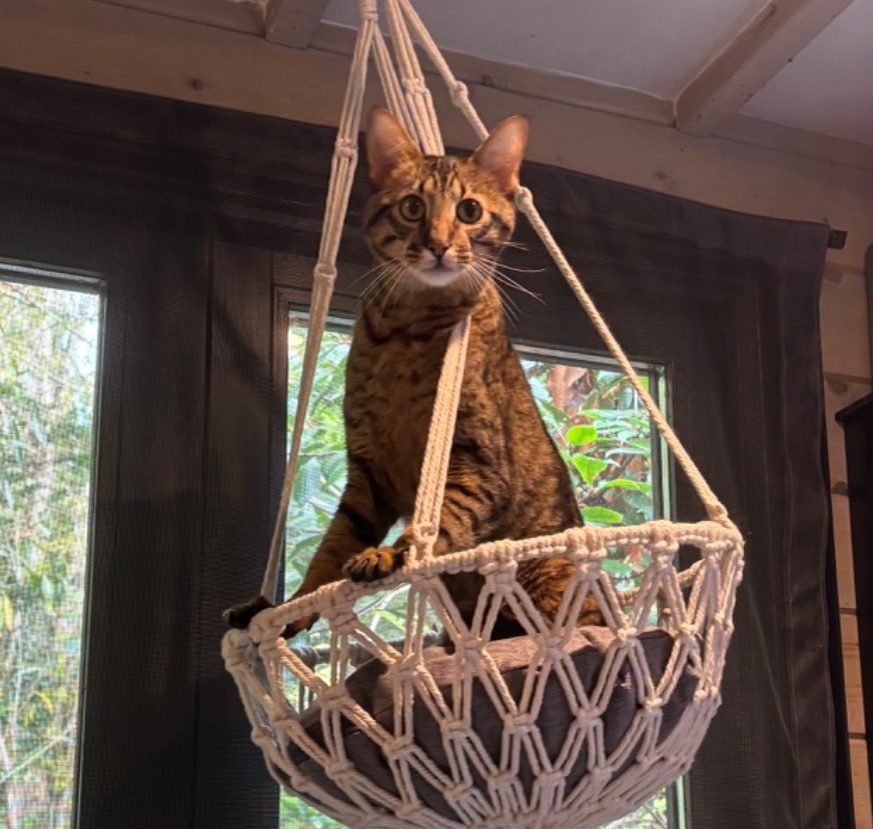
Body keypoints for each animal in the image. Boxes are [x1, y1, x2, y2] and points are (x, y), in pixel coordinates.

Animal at [225, 107, 600, 640]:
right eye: (411, 207)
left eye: (469, 211)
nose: (438, 244)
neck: (408, 329)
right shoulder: (367, 472)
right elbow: (330, 548)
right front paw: (292, 605)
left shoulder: (477, 460)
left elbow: (438, 522)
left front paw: (391, 554)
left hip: (545, 577)